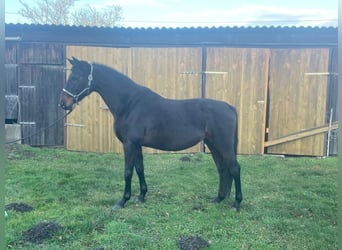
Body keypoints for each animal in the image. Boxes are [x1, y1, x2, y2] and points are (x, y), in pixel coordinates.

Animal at [58, 57, 242, 210]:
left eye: (75, 78)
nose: (63, 103)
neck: (130, 104)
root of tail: (229, 107)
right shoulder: (137, 145)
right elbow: (139, 169)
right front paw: (141, 196)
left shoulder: (129, 144)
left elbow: (128, 171)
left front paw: (122, 201)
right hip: (213, 144)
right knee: (222, 169)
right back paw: (219, 198)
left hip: (223, 145)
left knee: (234, 168)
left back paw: (236, 204)